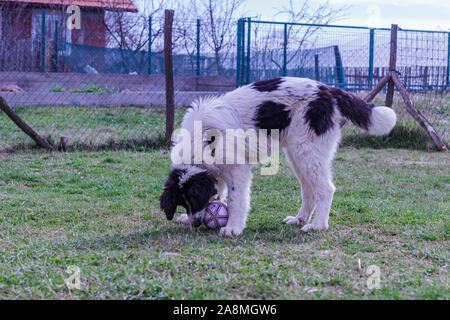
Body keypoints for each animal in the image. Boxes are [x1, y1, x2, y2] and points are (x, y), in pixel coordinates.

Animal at [157, 77, 394, 236]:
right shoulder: (218, 171)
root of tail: (327, 89)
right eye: (184, 203)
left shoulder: (238, 170)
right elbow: (219, 192)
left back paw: (317, 225)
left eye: (193, 199)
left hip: (306, 152)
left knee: (325, 189)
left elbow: (236, 200)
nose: (196, 224)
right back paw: (300, 219)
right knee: (309, 189)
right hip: (298, 154)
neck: (201, 141)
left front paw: (233, 227)